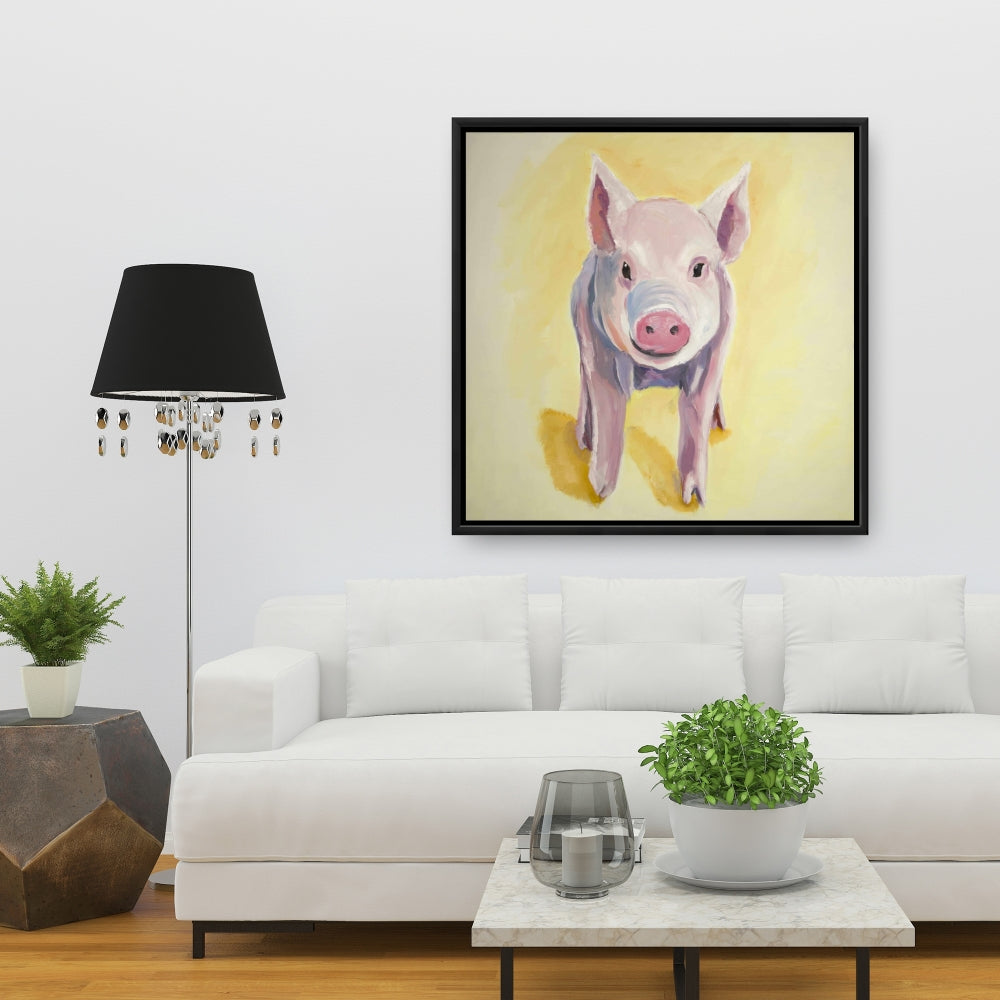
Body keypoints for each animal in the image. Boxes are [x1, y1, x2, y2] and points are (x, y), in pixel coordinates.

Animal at [570, 157, 750, 505]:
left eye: (698, 268)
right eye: (626, 268)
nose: (663, 318)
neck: (656, 375)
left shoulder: (718, 344)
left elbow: (696, 406)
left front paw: (693, 499)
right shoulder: (593, 338)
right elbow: (609, 403)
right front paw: (601, 493)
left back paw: (720, 426)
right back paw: (583, 439)